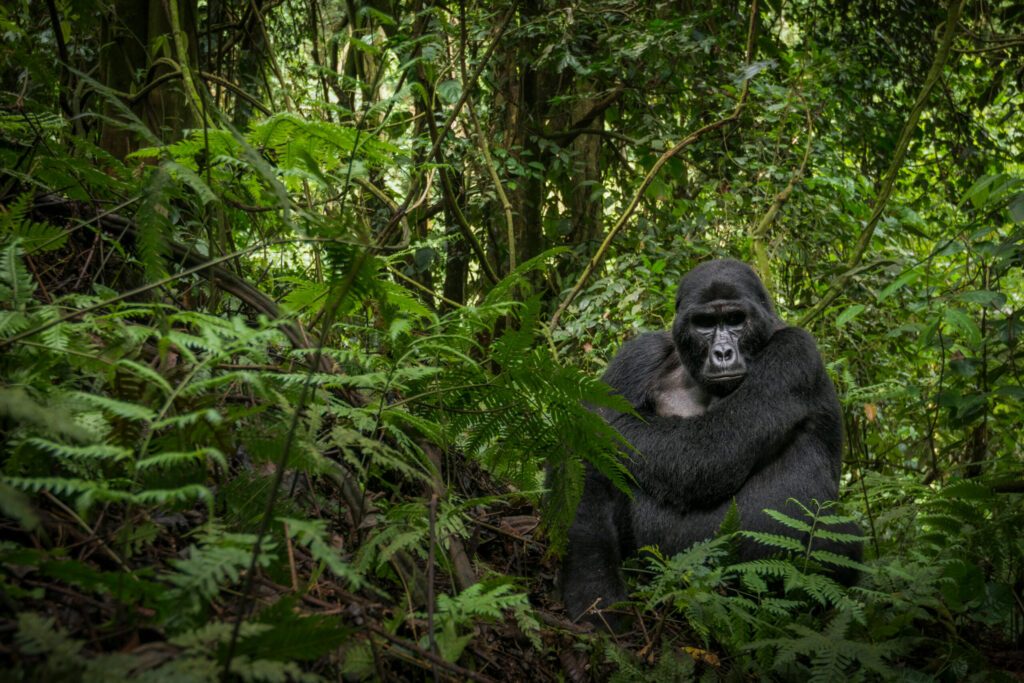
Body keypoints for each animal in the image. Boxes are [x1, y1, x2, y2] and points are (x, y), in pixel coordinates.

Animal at [565, 259, 860, 626]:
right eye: (705, 324)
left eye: (735, 320)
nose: (722, 352)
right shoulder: (639, 353)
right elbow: (589, 461)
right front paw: (592, 585)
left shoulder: (795, 352)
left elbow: (706, 452)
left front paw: (582, 415)